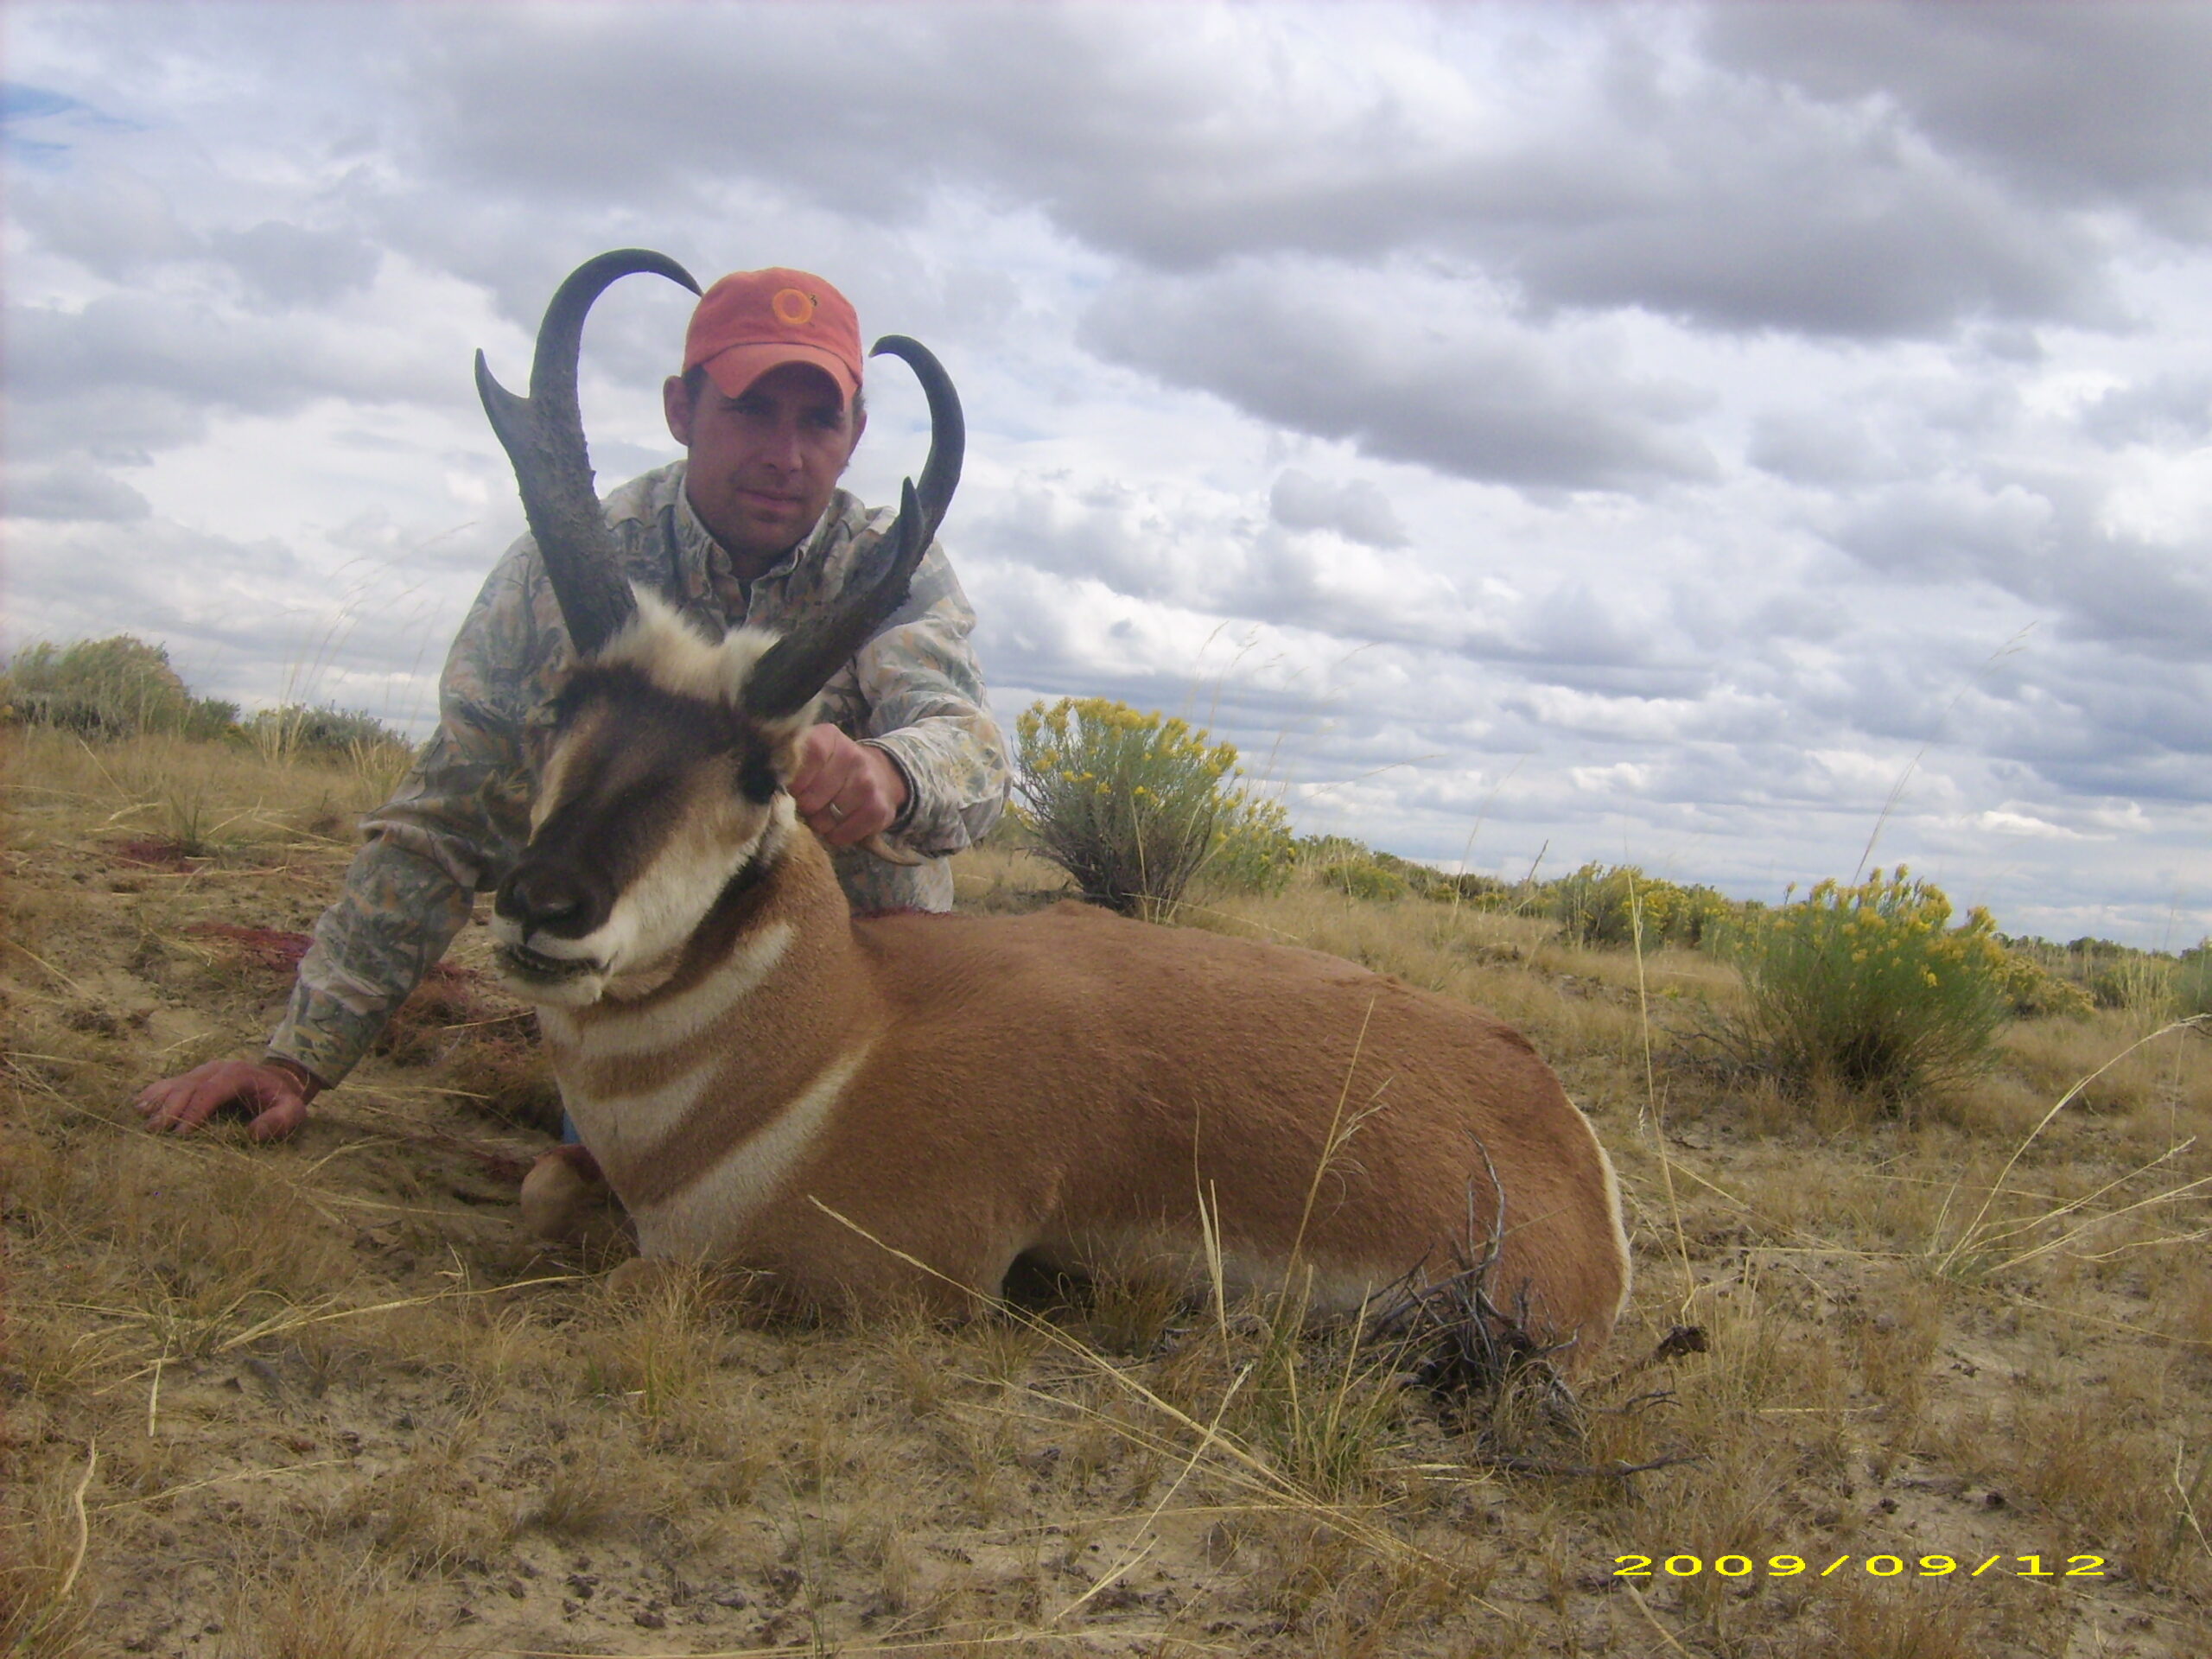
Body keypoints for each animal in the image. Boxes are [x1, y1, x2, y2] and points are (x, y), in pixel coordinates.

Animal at [484, 246, 1637, 1362]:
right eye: (561, 705)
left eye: (764, 770)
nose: (545, 902)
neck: (838, 1028)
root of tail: (1554, 1116)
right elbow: (540, 1188)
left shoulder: (877, 1279)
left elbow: (634, 1282)